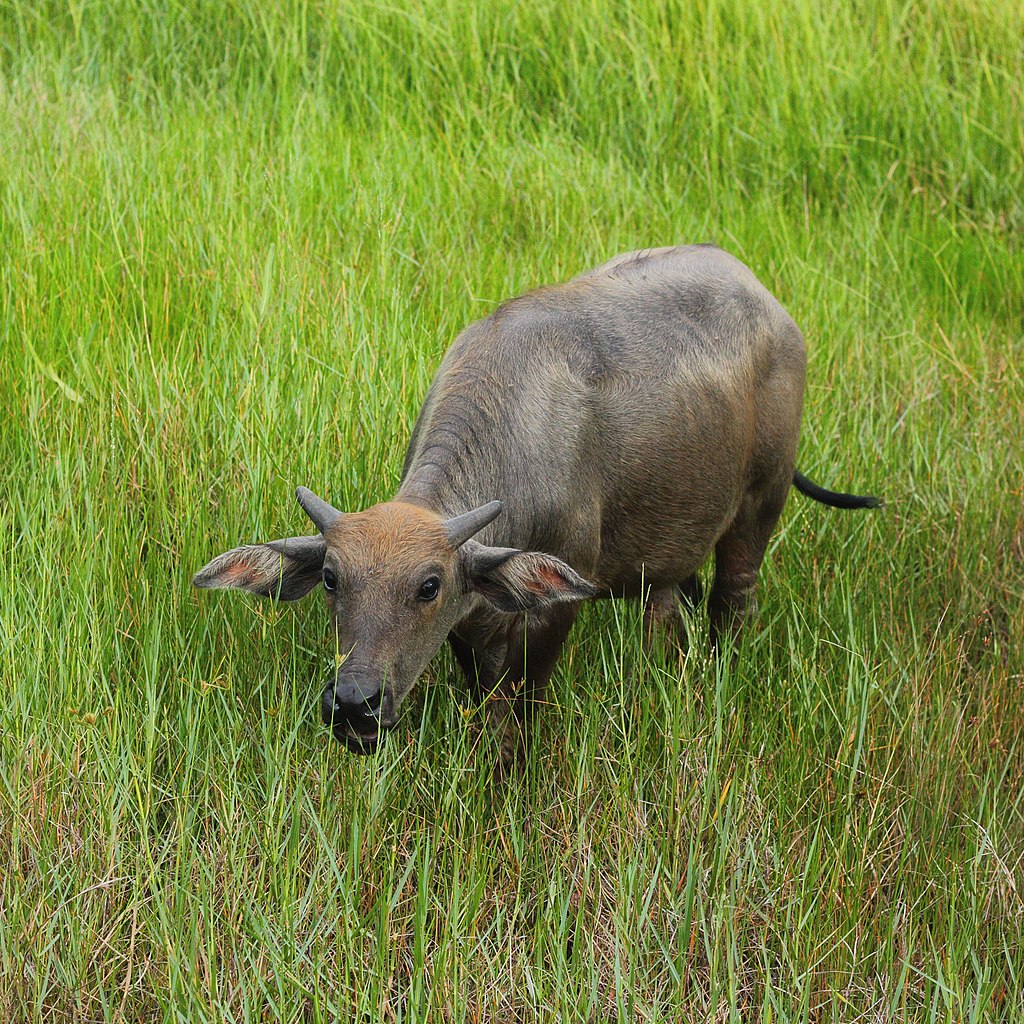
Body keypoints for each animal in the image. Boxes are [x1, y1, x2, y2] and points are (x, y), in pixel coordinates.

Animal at [193, 245, 880, 761]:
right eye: (333, 579)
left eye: (428, 585)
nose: (354, 706)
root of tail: (767, 301)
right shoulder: (475, 621)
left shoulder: (551, 614)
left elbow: (516, 716)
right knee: (665, 615)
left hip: (760, 503)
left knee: (732, 600)